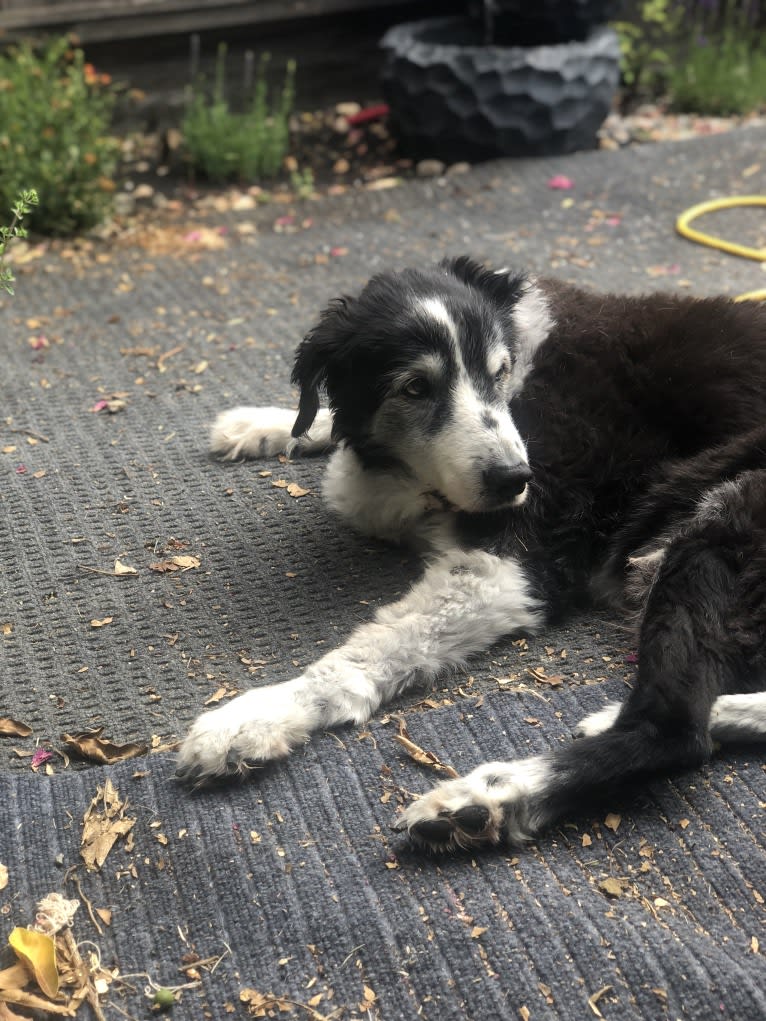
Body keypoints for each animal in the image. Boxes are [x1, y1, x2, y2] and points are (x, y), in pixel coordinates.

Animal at [176, 257, 766, 853]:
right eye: (416, 387)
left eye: (499, 372)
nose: (516, 480)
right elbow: (325, 420)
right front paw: (263, 423)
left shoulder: (511, 565)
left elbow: (371, 650)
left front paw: (264, 713)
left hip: (722, 520)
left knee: (676, 732)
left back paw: (489, 798)